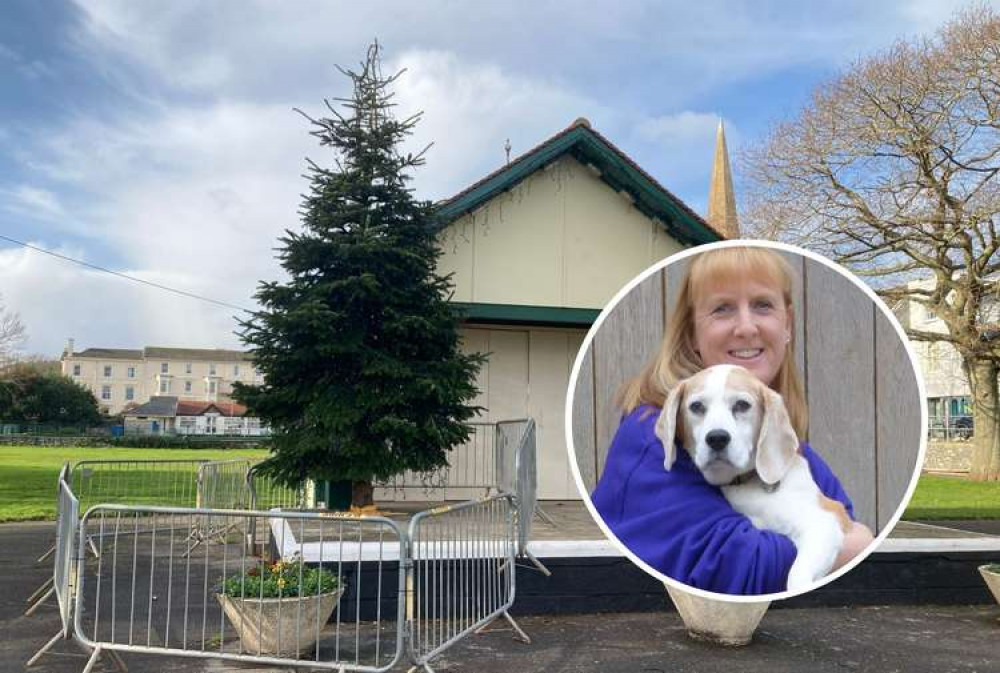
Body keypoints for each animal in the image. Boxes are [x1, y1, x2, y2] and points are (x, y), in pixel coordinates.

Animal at [656, 364, 852, 592]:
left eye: (742, 405)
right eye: (696, 406)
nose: (717, 438)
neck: (749, 484)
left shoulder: (825, 522)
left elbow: (796, 576)